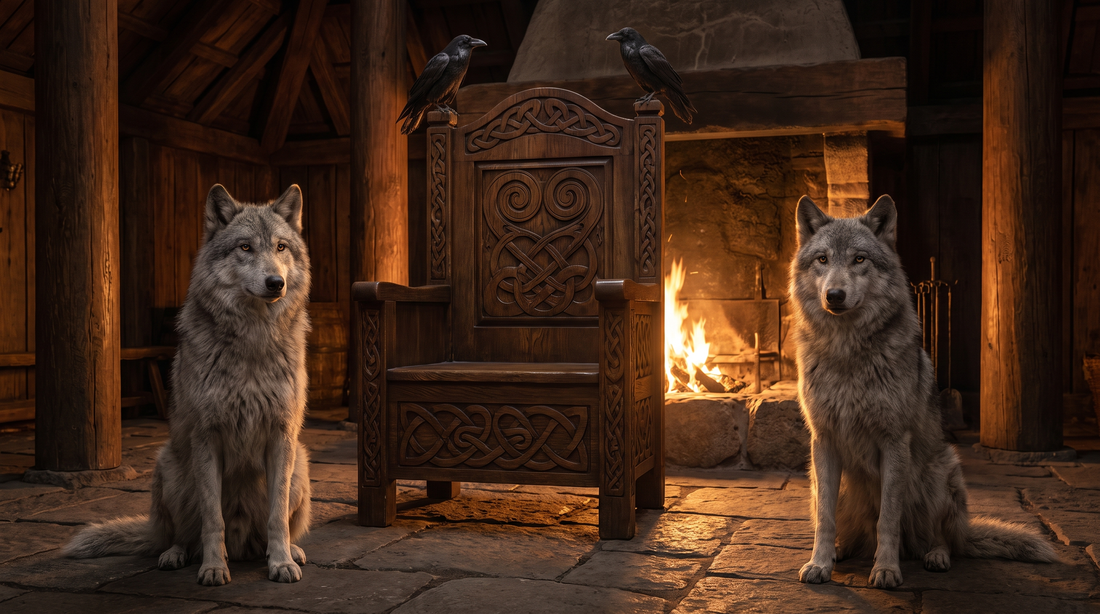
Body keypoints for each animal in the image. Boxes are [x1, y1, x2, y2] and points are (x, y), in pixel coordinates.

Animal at [66, 184, 313, 586]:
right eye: (245, 247)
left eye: (280, 247)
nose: (276, 283)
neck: (252, 340)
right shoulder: (206, 437)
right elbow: (212, 520)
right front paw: (213, 568)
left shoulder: (282, 435)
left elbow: (277, 518)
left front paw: (280, 563)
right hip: (171, 468)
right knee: (181, 534)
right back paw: (175, 555)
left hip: (300, 466)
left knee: (277, 527)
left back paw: (291, 551)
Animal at [789, 195, 1056, 589]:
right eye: (823, 259)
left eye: (859, 259)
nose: (834, 296)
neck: (847, 351)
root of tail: (965, 531)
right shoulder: (823, 442)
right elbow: (825, 519)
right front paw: (820, 564)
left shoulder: (894, 441)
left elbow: (888, 519)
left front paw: (886, 570)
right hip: (821, 481)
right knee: (853, 532)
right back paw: (841, 551)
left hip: (937, 473)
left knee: (937, 537)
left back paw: (936, 556)